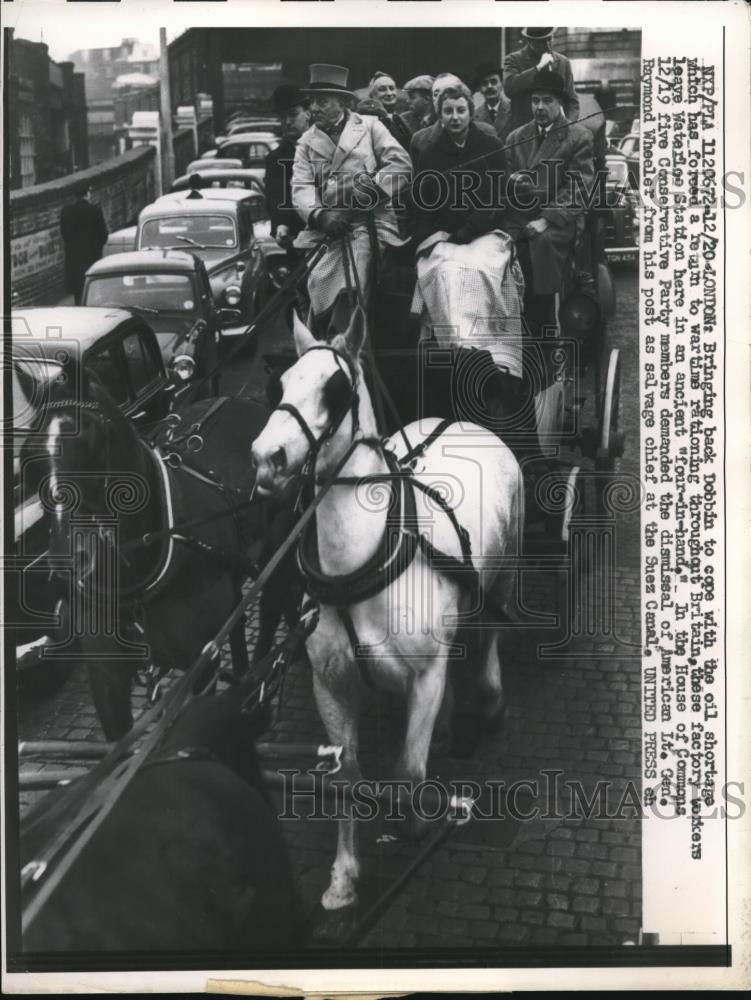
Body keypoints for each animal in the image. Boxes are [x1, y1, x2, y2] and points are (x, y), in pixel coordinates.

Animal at [39, 382, 296, 744]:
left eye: (97, 440)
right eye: (27, 455)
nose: (66, 562)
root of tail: (243, 399)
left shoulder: (199, 671)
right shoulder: (107, 682)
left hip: (279, 546)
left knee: (274, 601)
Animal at [253, 310, 524, 936]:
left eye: (336, 390)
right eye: (281, 385)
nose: (265, 458)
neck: (365, 563)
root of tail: (461, 420)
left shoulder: (423, 676)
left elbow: (407, 775)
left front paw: (416, 823)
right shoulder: (331, 686)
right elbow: (346, 779)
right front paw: (343, 878)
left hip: (504, 575)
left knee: (490, 637)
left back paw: (490, 700)